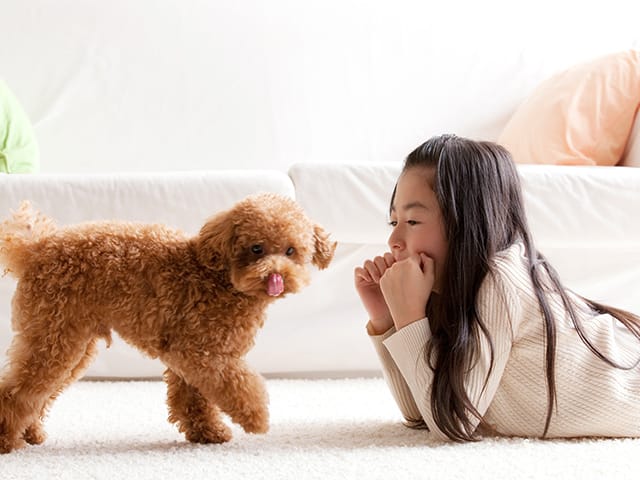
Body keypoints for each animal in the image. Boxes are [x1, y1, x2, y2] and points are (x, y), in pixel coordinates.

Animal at [0, 193, 338, 452]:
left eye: (291, 251)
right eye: (257, 248)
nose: (276, 277)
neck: (220, 278)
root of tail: (34, 250)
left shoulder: (189, 358)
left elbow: (193, 398)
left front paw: (207, 433)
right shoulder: (201, 354)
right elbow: (239, 385)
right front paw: (256, 419)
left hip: (70, 342)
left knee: (37, 393)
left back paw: (30, 434)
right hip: (52, 336)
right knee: (17, 391)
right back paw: (8, 440)